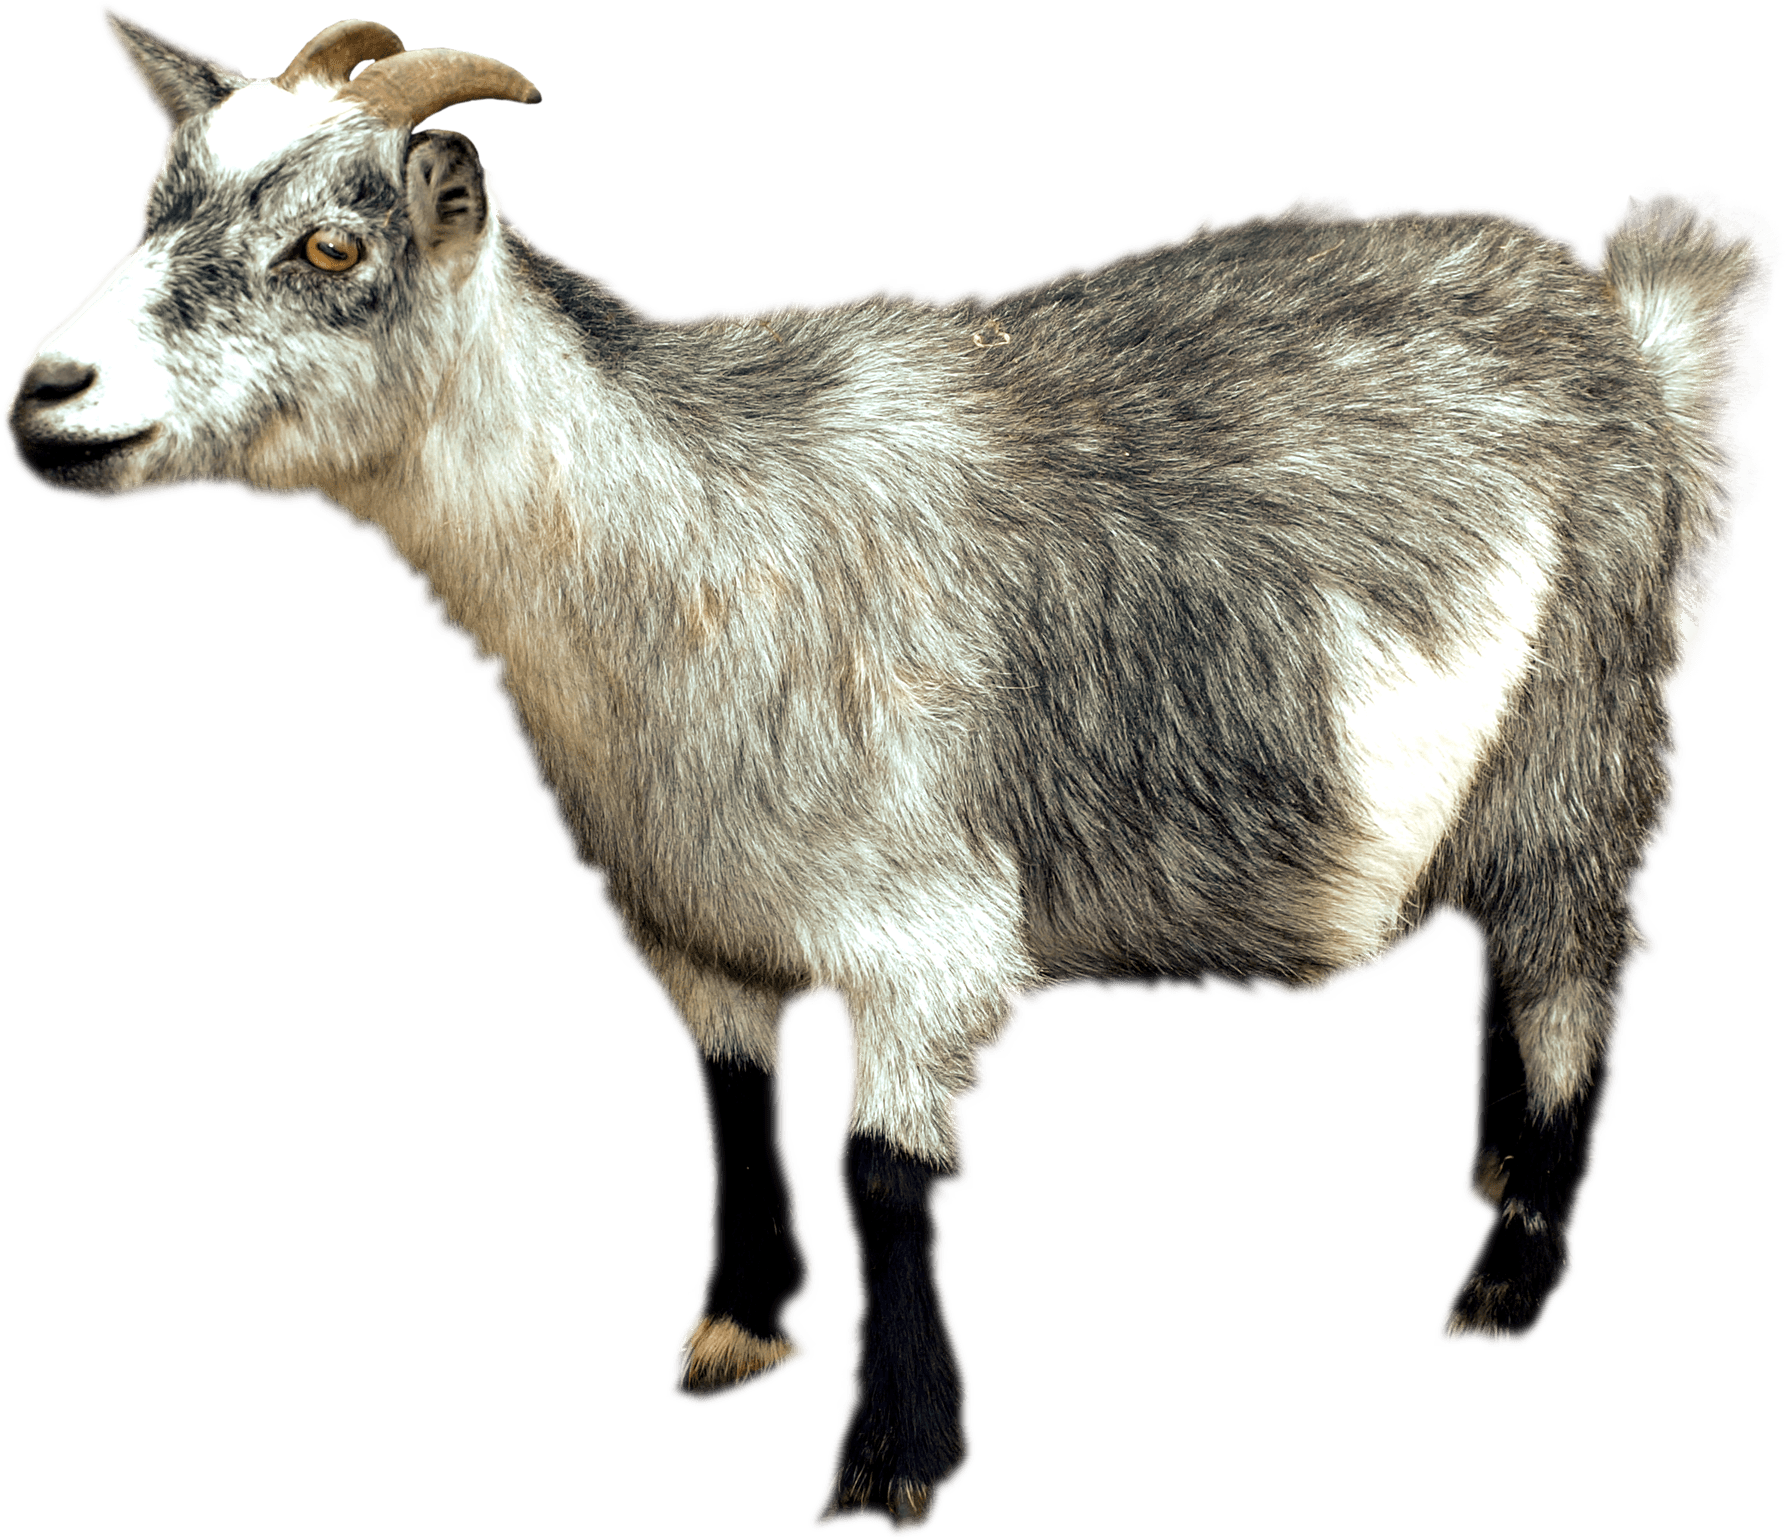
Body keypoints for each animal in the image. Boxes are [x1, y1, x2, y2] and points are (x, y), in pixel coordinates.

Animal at [6, 6, 1777, 1530]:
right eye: (154, 207)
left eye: (331, 246)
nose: (46, 398)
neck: (678, 543)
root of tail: (1634, 331)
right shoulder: (687, 915)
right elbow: (732, 1102)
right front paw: (739, 1329)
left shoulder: (928, 937)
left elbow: (886, 1177)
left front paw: (890, 1462)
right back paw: (1486, 1169)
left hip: (1578, 733)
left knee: (1579, 973)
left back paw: (1507, 1273)